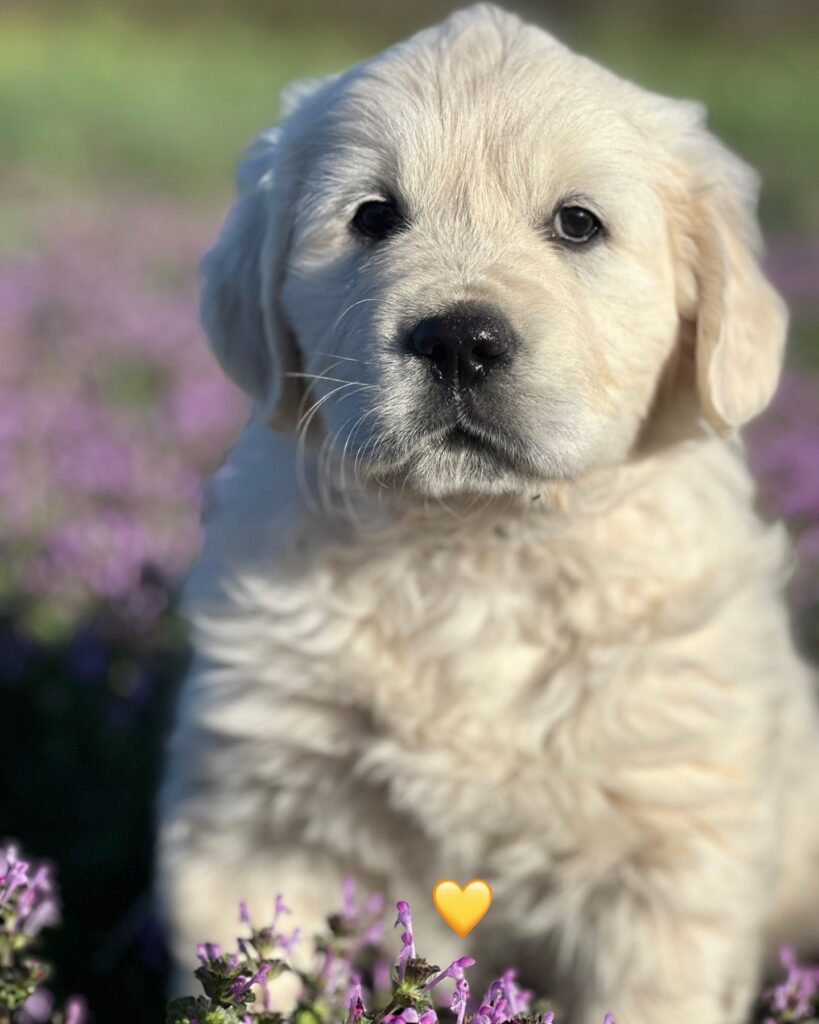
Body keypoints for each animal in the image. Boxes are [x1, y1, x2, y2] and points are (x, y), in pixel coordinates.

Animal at [156, 6, 819, 1022]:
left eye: (577, 224)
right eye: (372, 216)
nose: (458, 340)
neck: (473, 537)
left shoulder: (665, 854)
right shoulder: (262, 814)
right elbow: (259, 959)